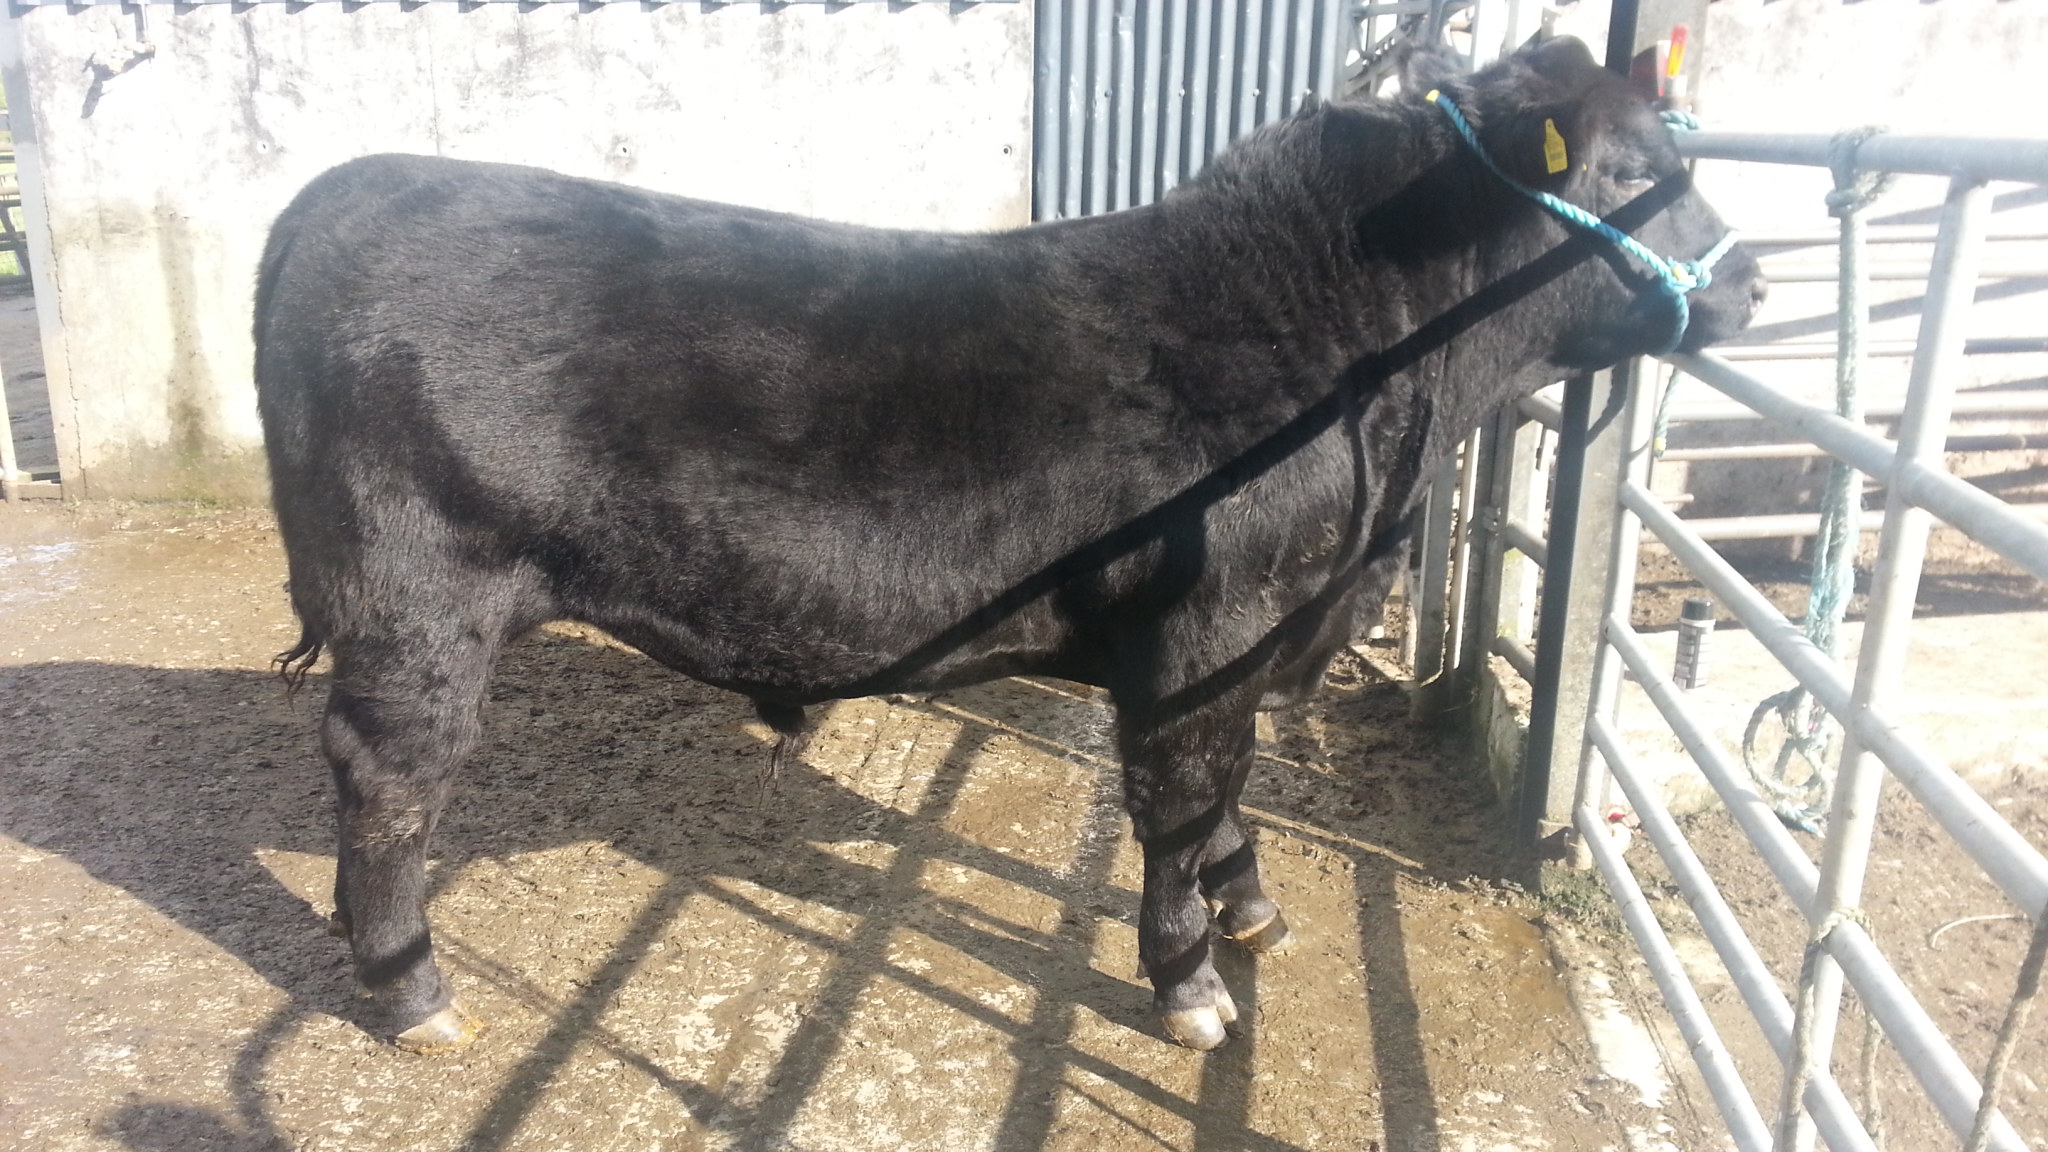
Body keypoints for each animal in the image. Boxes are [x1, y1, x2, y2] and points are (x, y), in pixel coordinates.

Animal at [253, 35, 1762, 1054]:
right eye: (1631, 173)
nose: (1747, 277)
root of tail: (345, 192)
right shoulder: (1207, 638)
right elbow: (1179, 802)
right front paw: (1192, 984)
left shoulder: (1258, 639)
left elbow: (1227, 797)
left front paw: (1251, 911)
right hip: (418, 601)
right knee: (388, 783)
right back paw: (411, 992)